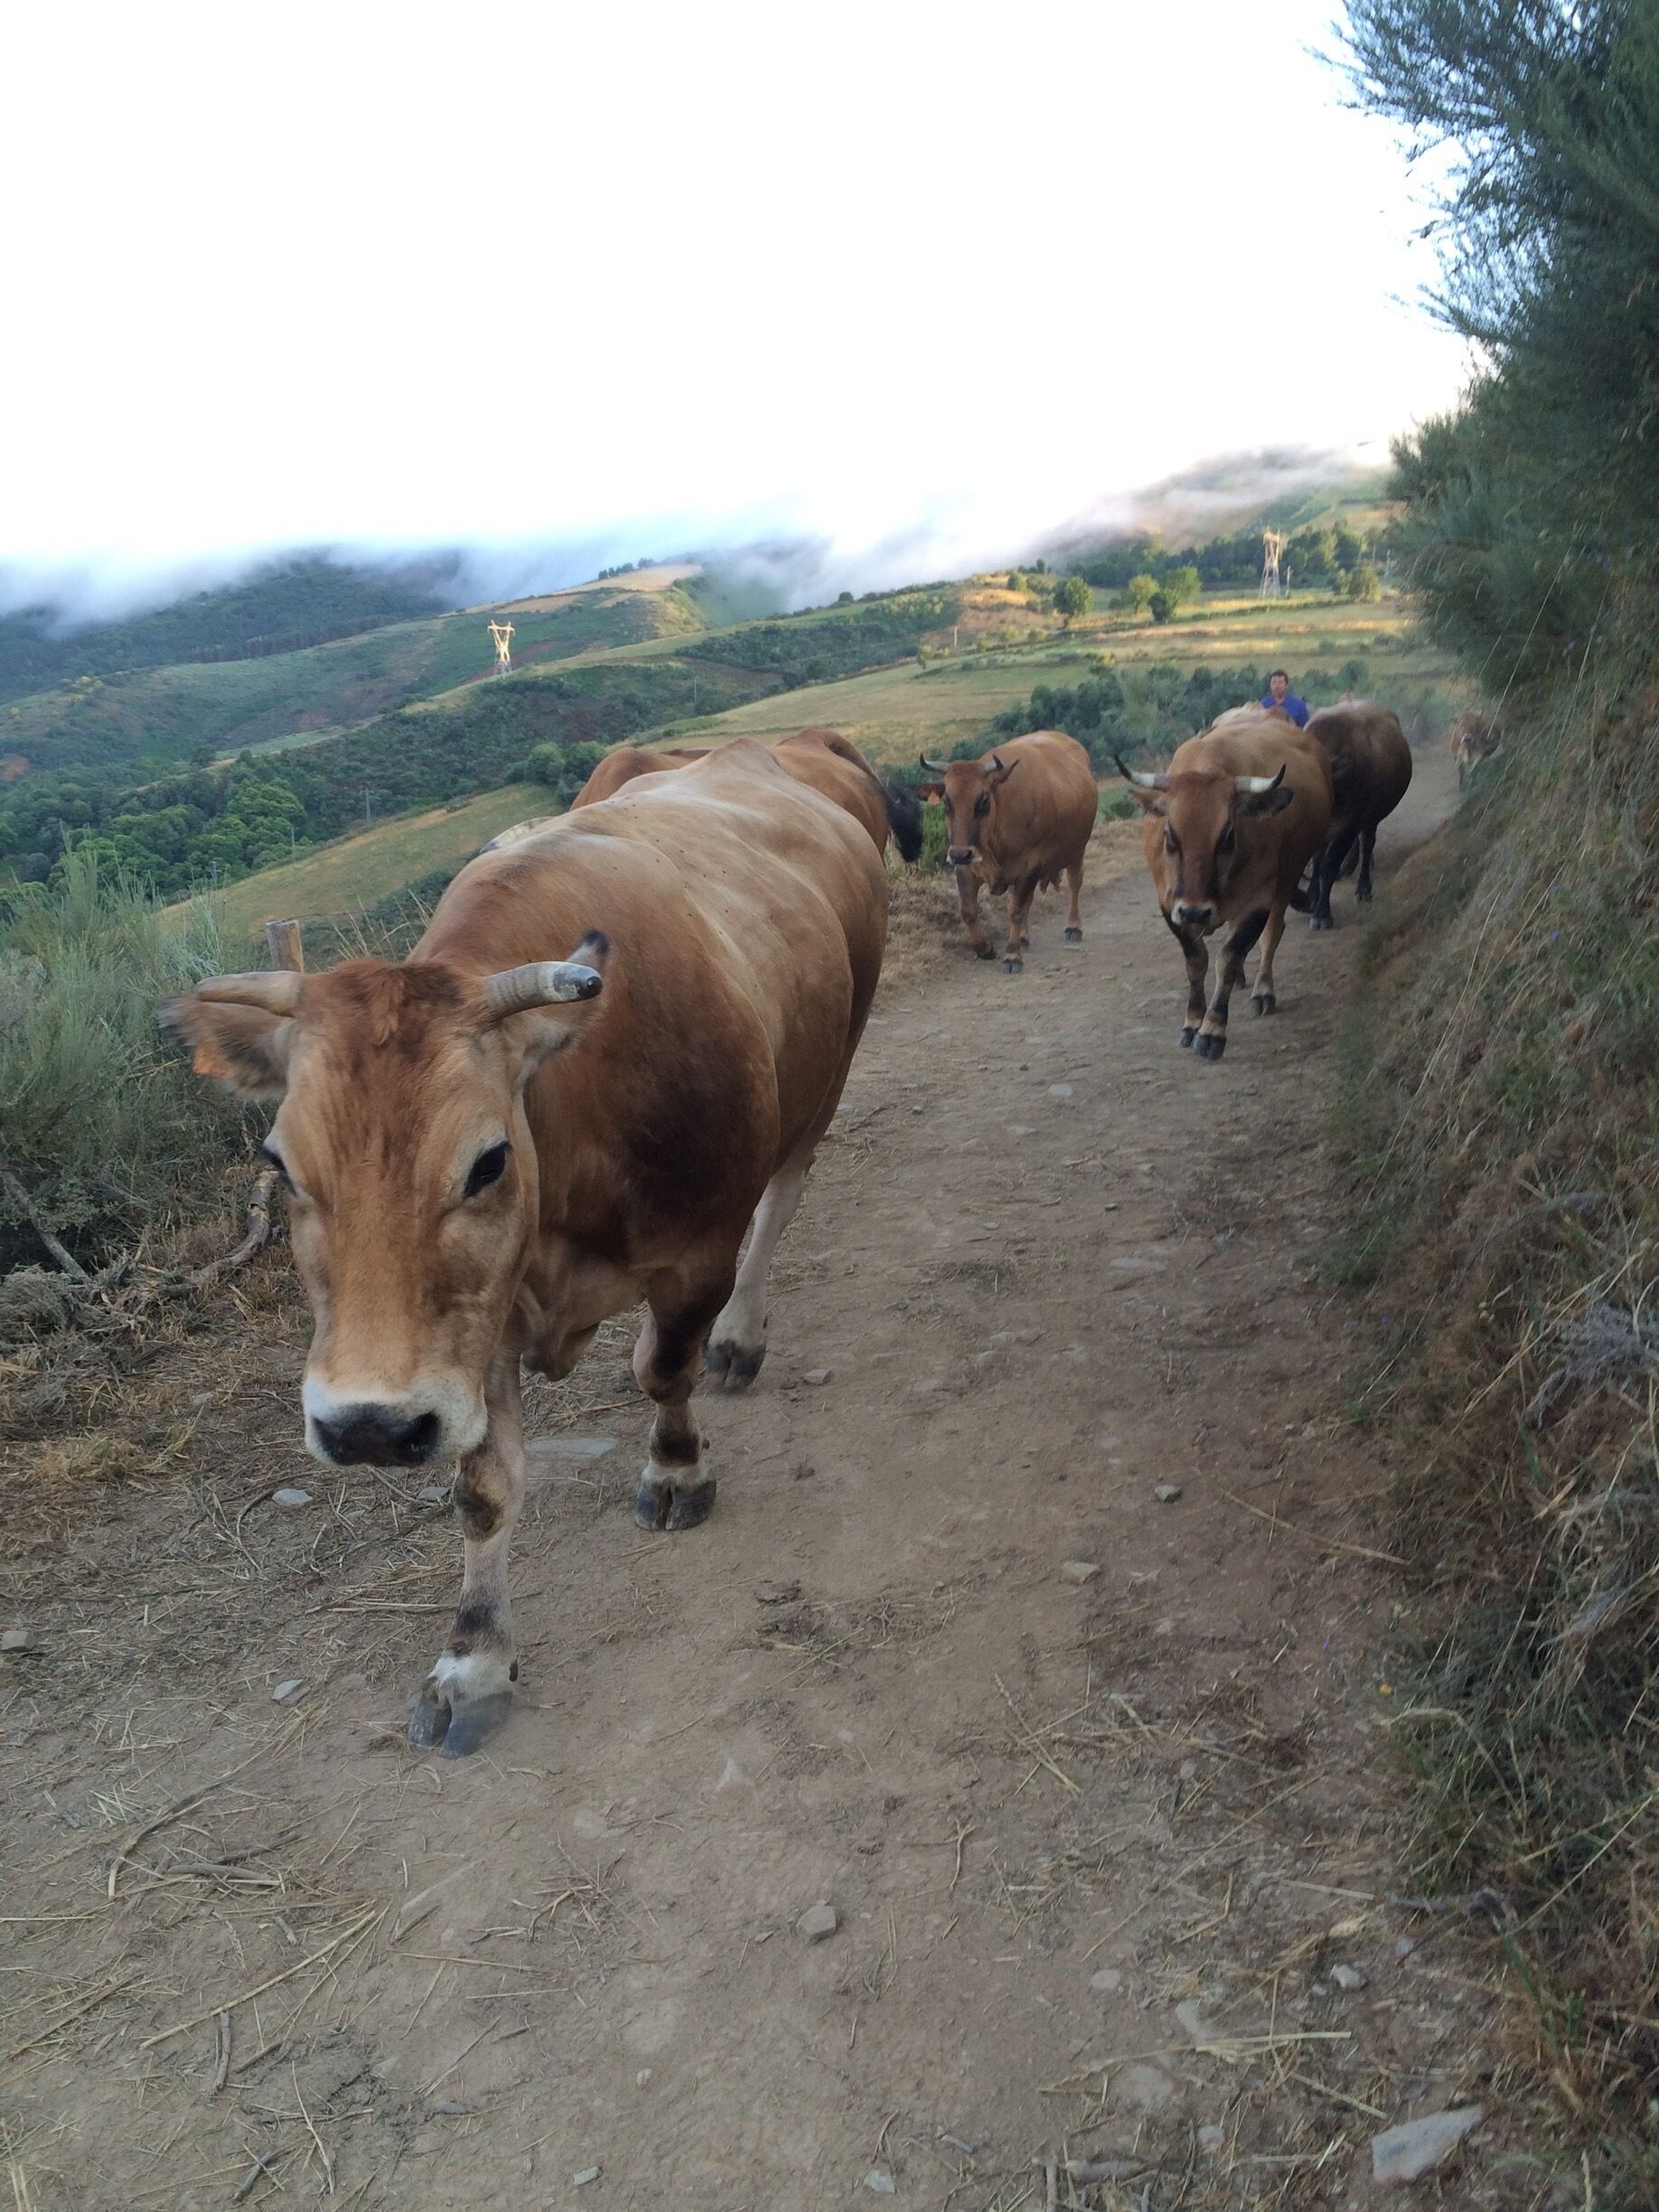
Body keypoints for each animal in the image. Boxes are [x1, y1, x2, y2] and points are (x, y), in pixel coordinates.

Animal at [160, 741, 887, 1758]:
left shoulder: (695, 1253)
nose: (367, 1428)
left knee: (781, 1202)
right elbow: (483, 1486)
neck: (575, 1116)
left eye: (489, 1161)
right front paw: (473, 1660)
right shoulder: (474, 1327)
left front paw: (676, 1469)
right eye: (278, 1162)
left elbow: (666, 1369)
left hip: (831, 1066)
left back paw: (742, 1337)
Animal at [915, 729, 1098, 973]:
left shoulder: (1029, 867)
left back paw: (1073, 927)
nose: (960, 854)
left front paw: (1012, 955)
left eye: (983, 800)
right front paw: (985, 948)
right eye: (946, 800)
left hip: (1077, 850)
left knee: (1075, 883)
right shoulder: (966, 868)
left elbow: (1016, 910)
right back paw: (1023, 937)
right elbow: (969, 910)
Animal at [1118, 711, 1333, 1060]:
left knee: (1272, 935)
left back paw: (1262, 990)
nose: (1196, 912)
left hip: (1288, 875)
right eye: (1170, 834)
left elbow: (1229, 957)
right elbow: (1196, 961)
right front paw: (1193, 1021)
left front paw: (1212, 1030)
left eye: (1228, 836)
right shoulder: (1169, 904)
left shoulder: (1258, 899)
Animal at [1302, 700, 1413, 928]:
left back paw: (1363, 888)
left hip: (1371, 818)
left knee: (1367, 844)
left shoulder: (1349, 825)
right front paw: (1312, 896)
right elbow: (1317, 861)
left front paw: (1322, 914)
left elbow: (1329, 865)